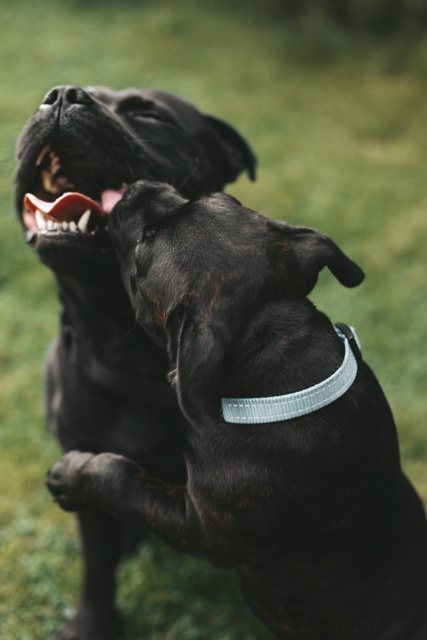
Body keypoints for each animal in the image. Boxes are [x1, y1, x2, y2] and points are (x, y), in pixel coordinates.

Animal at [46, 179, 427, 640]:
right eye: (207, 198)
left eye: (144, 243)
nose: (139, 186)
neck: (279, 360)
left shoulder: (199, 527)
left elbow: (125, 480)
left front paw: (73, 474)